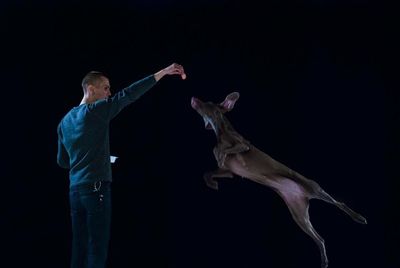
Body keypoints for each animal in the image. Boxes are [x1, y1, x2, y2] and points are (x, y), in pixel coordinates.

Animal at [192, 92, 368, 268]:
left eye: (207, 103)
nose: (194, 99)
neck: (221, 131)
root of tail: (303, 195)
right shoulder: (228, 172)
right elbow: (208, 172)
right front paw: (212, 182)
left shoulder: (243, 145)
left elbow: (225, 149)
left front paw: (220, 155)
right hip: (299, 214)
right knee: (320, 238)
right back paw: (324, 260)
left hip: (314, 189)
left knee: (339, 203)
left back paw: (359, 218)